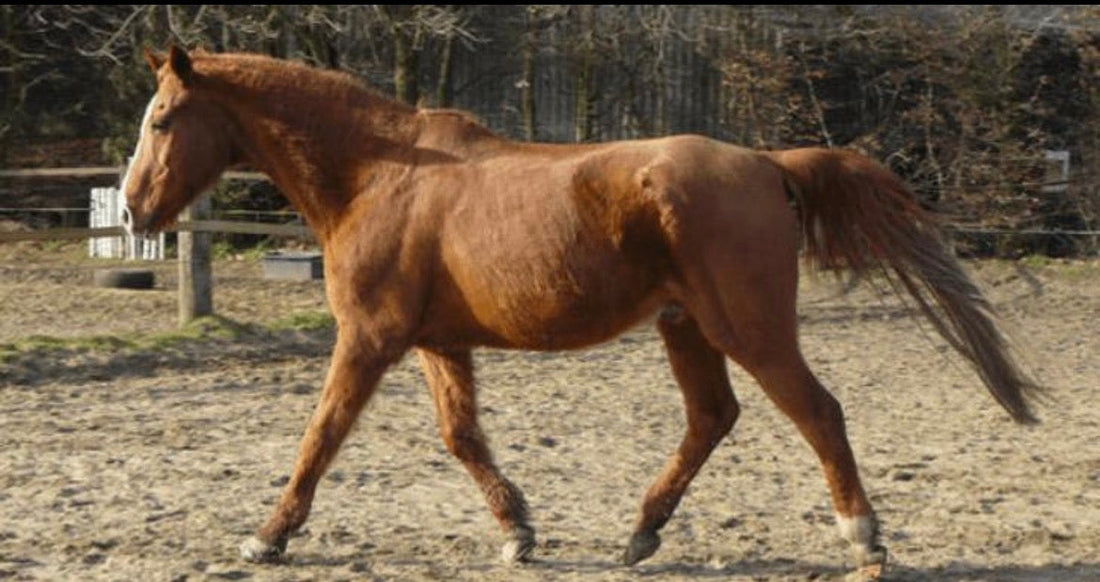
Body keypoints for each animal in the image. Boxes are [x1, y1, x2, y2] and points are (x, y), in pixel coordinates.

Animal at [121, 45, 1041, 576]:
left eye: (162, 118)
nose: (132, 208)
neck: (380, 175)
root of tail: (766, 163)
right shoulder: (436, 343)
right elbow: (462, 438)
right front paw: (518, 532)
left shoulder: (369, 338)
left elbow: (320, 437)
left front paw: (268, 536)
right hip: (687, 328)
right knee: (713, 417)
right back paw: (640, 535)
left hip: (749, 328)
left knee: (816, 411)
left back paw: (863, 536)